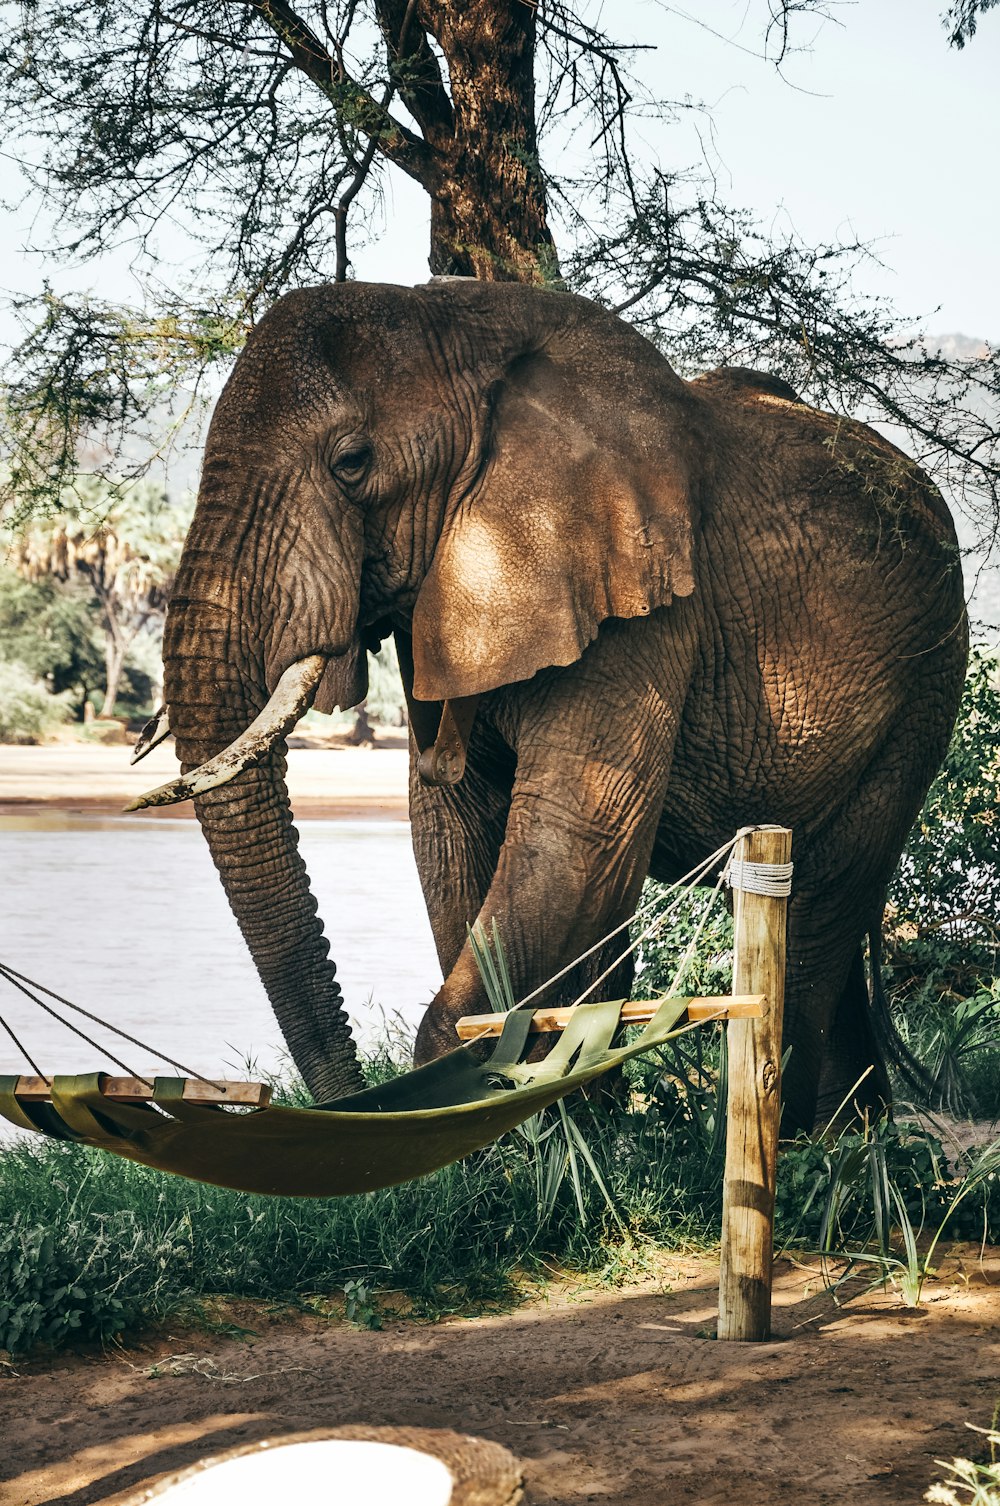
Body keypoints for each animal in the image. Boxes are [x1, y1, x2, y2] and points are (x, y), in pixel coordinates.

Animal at [137, 280, 963, 1132]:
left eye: (351, 463)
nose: (345, 1097)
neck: (461, 330)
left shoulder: (643, 602)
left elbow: (576, 831)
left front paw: (472, 1116)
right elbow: (450, 824)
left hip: (925, 683)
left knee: (820, 913)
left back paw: (812, 1138)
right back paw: (853, 1130)